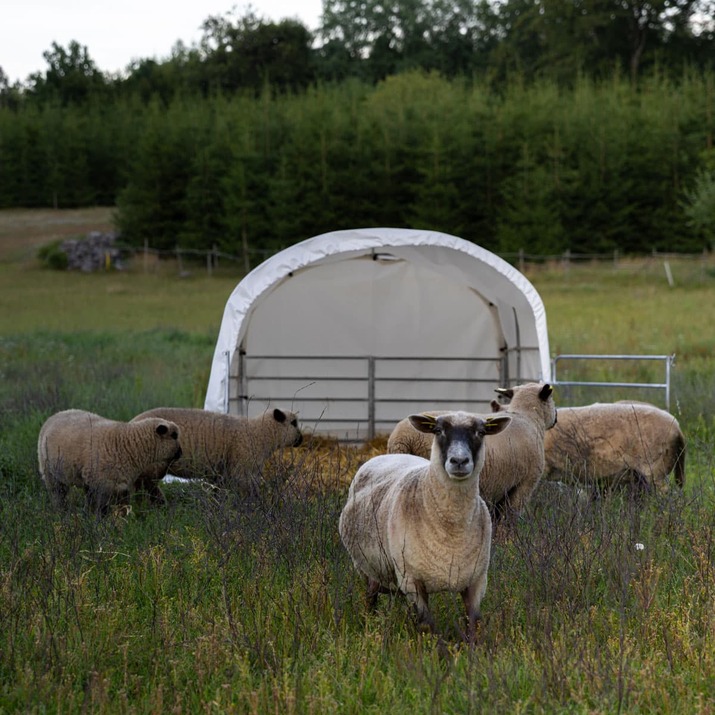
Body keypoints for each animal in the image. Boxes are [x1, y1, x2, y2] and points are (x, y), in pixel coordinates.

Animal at [37, 409, 182, 514]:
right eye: (174, 435)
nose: (181, 453)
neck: (129, 445)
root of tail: (55, 415)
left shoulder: (120, 484)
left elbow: (123, 507)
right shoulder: (103, 483)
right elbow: (101, 507)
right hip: (50, 472)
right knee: (57, 494)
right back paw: (60, 512)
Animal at [130, 407, 303, 490]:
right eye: (293, 423)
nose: (301, 440)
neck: (259, 433)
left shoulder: (223, 474)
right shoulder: (242, 470)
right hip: (153, 466)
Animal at [339, 411, 511, 642]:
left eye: (481, 432)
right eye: (438, 431)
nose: (459, 461)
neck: (452, 530)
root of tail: (384, 456)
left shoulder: (476, 581)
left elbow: (473, 624)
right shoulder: (412, 580)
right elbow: (427, 625)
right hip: (369, 569)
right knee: (371, 597)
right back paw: (370, 624)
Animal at [387, 383, 557, 522]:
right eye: (551, 399)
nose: (556, 417)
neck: (528, 417)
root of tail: (402, 437)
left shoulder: (499, 488)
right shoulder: (524, 485)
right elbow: (508, 519)